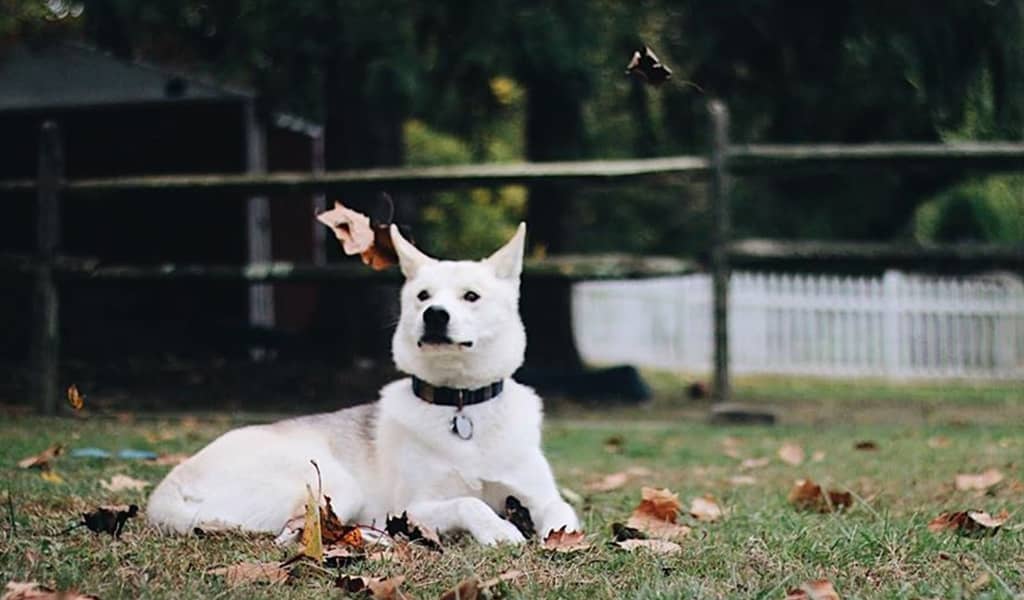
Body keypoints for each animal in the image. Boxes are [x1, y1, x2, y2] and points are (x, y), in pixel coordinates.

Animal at [145, 224, 581, 540]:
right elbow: (467, 503)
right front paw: (499, 531)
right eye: (423, 296)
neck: (461, 405)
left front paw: (559, 540)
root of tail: (169, 485)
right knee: (293, 535)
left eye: (471, 296)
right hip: (336, 484)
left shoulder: (541, 496)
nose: (434, 315)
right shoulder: (413, 508)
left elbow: (562, 513)